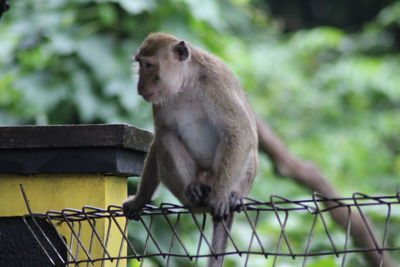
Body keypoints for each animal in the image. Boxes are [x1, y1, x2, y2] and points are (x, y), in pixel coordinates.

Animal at [122, 32, 260, 266]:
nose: (140, 86)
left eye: (149, 65)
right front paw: (140, 199)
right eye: (140, 64)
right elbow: (160, 135)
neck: (186, 83)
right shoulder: (160, 101)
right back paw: (194, 193)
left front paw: (222, 195)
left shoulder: (217, 83)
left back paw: (233, 196)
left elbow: (239, 131)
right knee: (166, 139)